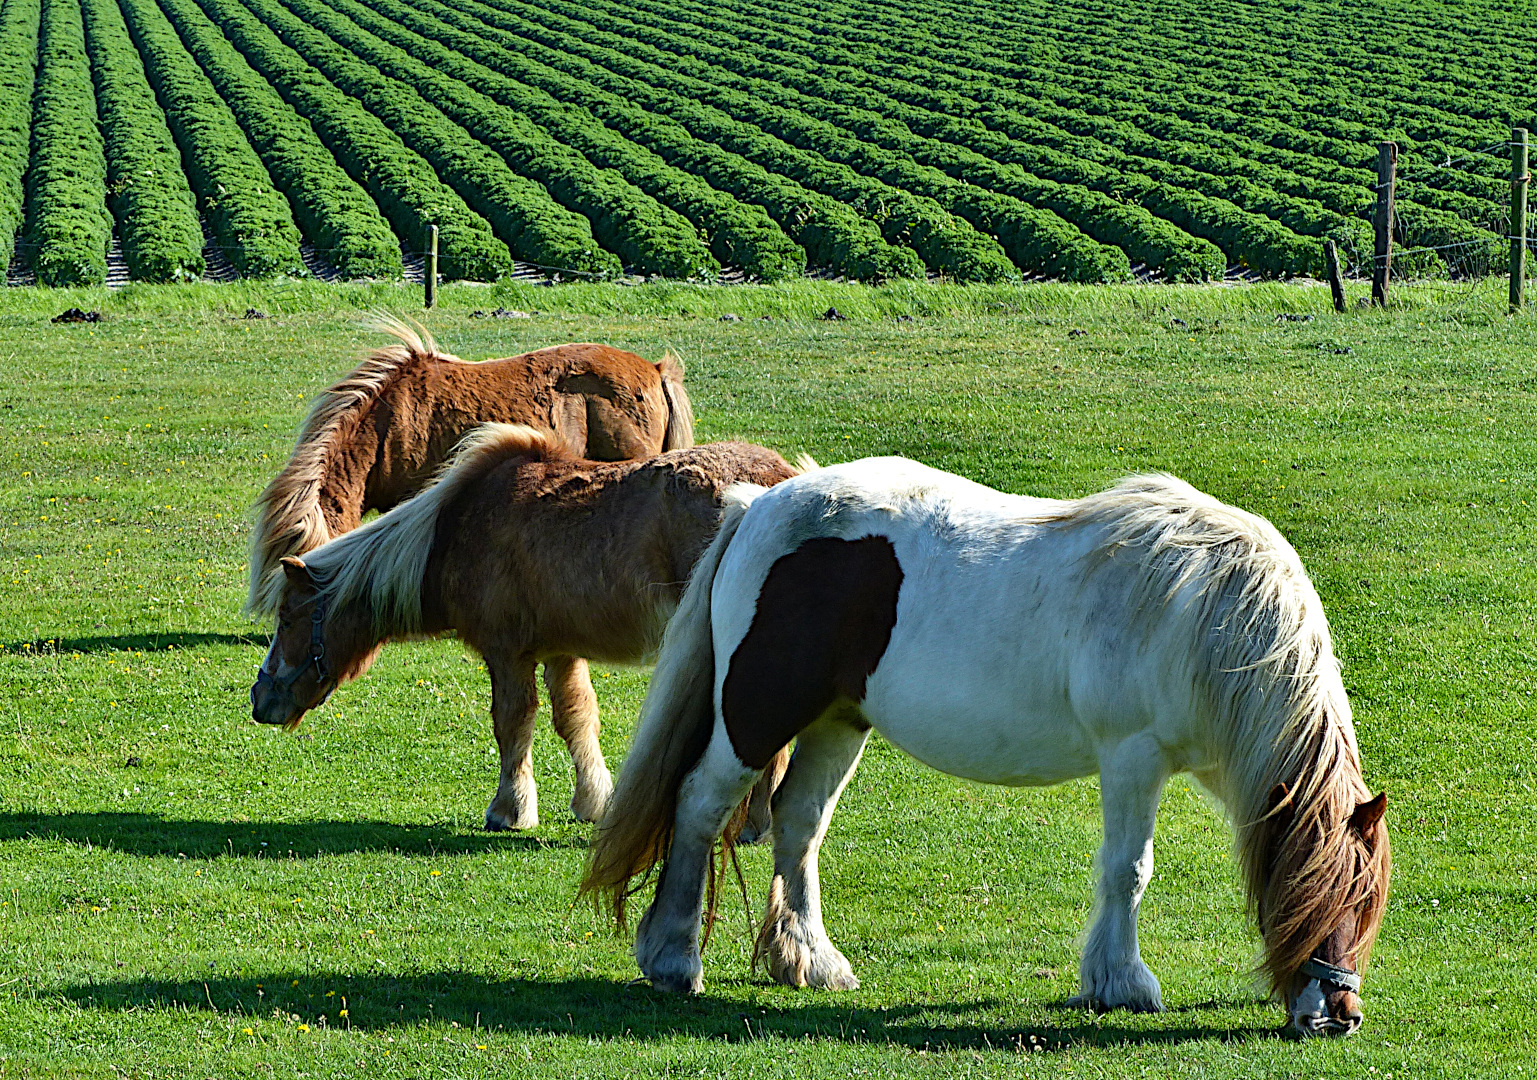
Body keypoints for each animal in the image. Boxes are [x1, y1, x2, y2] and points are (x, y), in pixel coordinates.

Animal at [245, 427, 799, 829]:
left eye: (288, 619)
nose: (259, 699)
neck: (453, 532)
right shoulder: (560, 650)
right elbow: (577, 720)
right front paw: (594, 801)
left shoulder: (507, 655)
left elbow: (513, 724)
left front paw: (509, 811)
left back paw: (757, 823)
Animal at [584, 463, 1395, 1038]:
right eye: (1329, 896)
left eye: (1368, 905)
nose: (1338, 1016)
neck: (1206, 615)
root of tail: (759, 506)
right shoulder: (1132, 758)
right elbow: (1129, 870)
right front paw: (1121, 984)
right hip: (755, 715)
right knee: (699, 806)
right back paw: (673, 960)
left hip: (837, 723)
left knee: (798, 823)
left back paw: (808, 961)